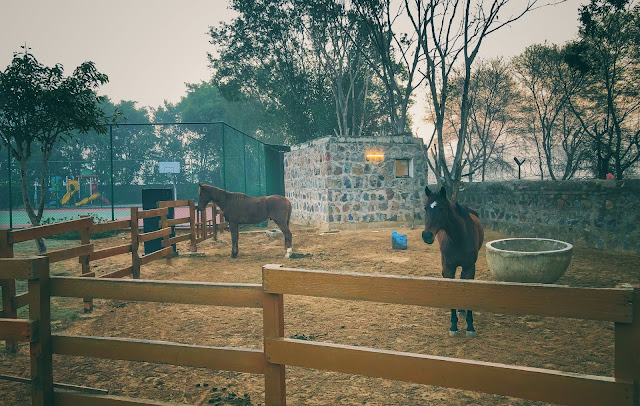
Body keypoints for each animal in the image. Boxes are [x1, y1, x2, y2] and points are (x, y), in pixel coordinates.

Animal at [422, 186, 482, 336]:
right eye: (425, 208)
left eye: (441, 208)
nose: (426, 235)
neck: (459, 237)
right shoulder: (448, 268)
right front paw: (454, 326)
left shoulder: (470, 268)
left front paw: (470, 326)